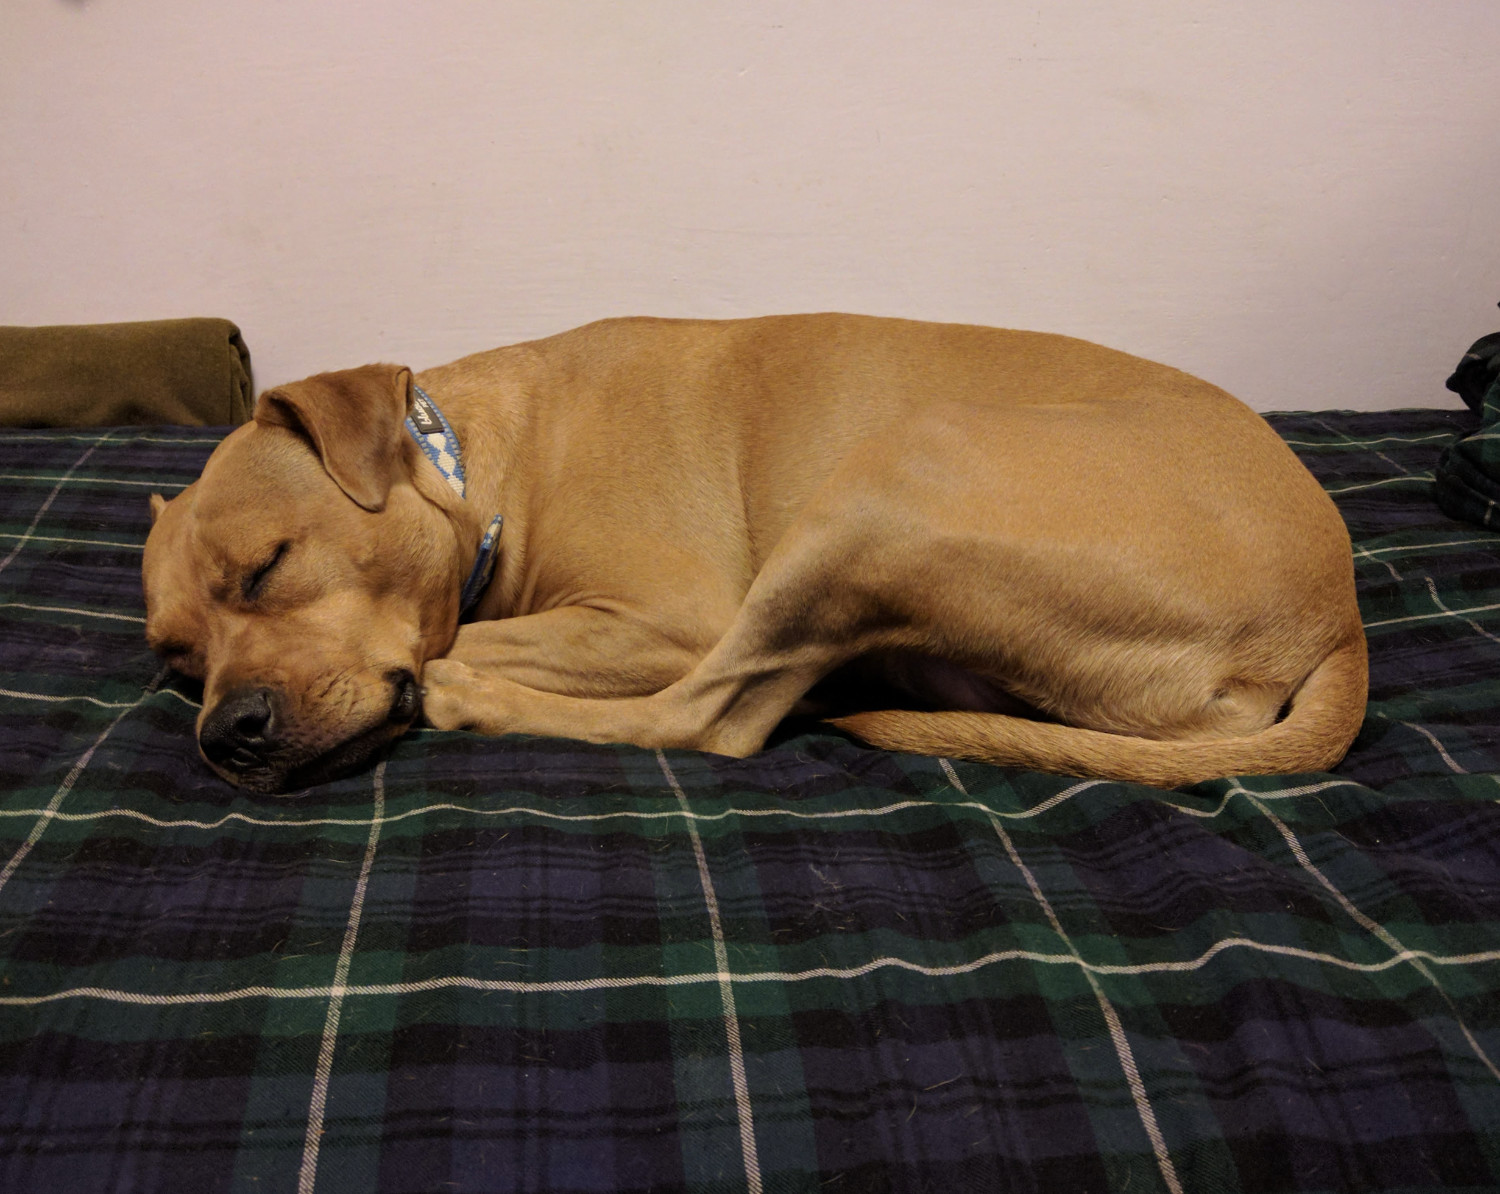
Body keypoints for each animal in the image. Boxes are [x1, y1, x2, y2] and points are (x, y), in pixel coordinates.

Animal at [143, 315, 1374, 792]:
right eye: (175, 661)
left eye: (268, 566)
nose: (227, 732)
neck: (477, 470)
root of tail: (1341, 615)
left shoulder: (660, 619)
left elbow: (483, 642)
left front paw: (461, 673)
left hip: (889, 480)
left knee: (709, 719)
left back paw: (472, 700)